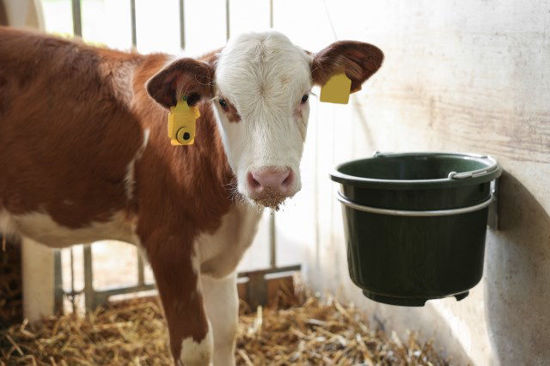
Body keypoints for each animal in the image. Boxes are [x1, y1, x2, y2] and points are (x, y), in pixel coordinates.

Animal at [0, 27, 384, 364]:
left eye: (305, 97)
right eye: (224, 102)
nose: (271, 178)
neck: (227, 209)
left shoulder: (221, 259)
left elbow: (227, 331)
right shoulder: (168, 246)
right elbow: (195, 346)